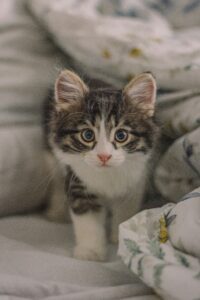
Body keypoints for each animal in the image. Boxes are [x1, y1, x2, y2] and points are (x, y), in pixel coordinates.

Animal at [46, 69, 159, 260]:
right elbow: (88, 221)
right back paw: (56, 212)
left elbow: (126, 211)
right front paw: (91, 251)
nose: (104, 156)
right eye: (87, 135)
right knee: (57, 181)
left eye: (121, 135)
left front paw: (119, 237)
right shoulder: (78, 184)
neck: (107, 175)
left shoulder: (135, 183)